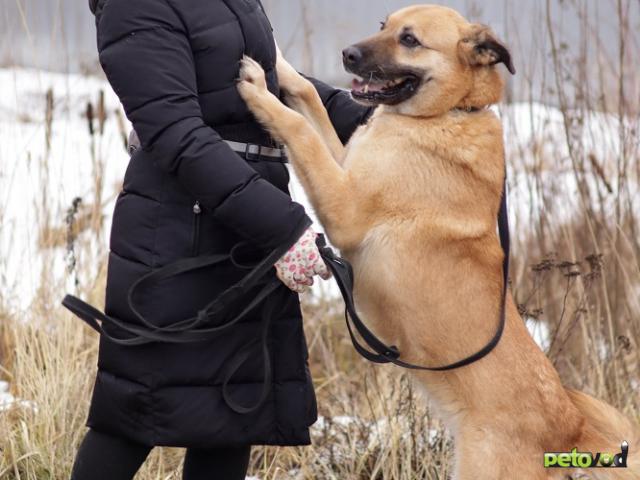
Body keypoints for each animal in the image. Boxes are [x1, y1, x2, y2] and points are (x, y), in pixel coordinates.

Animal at [236, 4, 640, 480]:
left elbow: (300, 128)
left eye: (410, 40)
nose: (347, 54)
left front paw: (259, 90)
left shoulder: (343, 207)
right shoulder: (345, 164)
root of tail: (570, 427)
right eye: (384, 27)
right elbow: (308, 98)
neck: (450, 113)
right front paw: (280, 65)